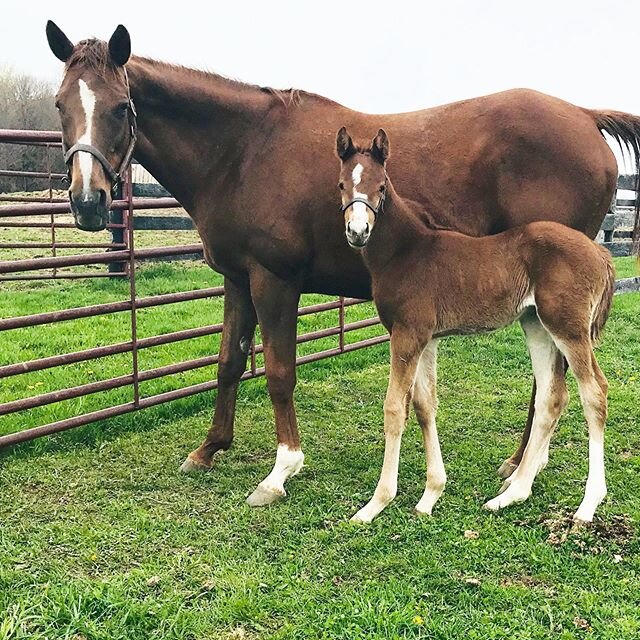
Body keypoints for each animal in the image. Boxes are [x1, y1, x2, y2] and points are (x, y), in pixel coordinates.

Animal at [338, 127, 616, 524]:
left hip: (569, 327)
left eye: (381, 185)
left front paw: (376, 503)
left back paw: (588, 503)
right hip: (537, 324)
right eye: (343, 184)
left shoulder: (407, 334)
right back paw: (513, 493)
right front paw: (430, 495)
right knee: (551, 396)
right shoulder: (426, 337)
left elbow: (395, 408)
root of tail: (600, 251)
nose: (358, 231)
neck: (406, 251)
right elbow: (424, 404)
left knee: (593, 392)